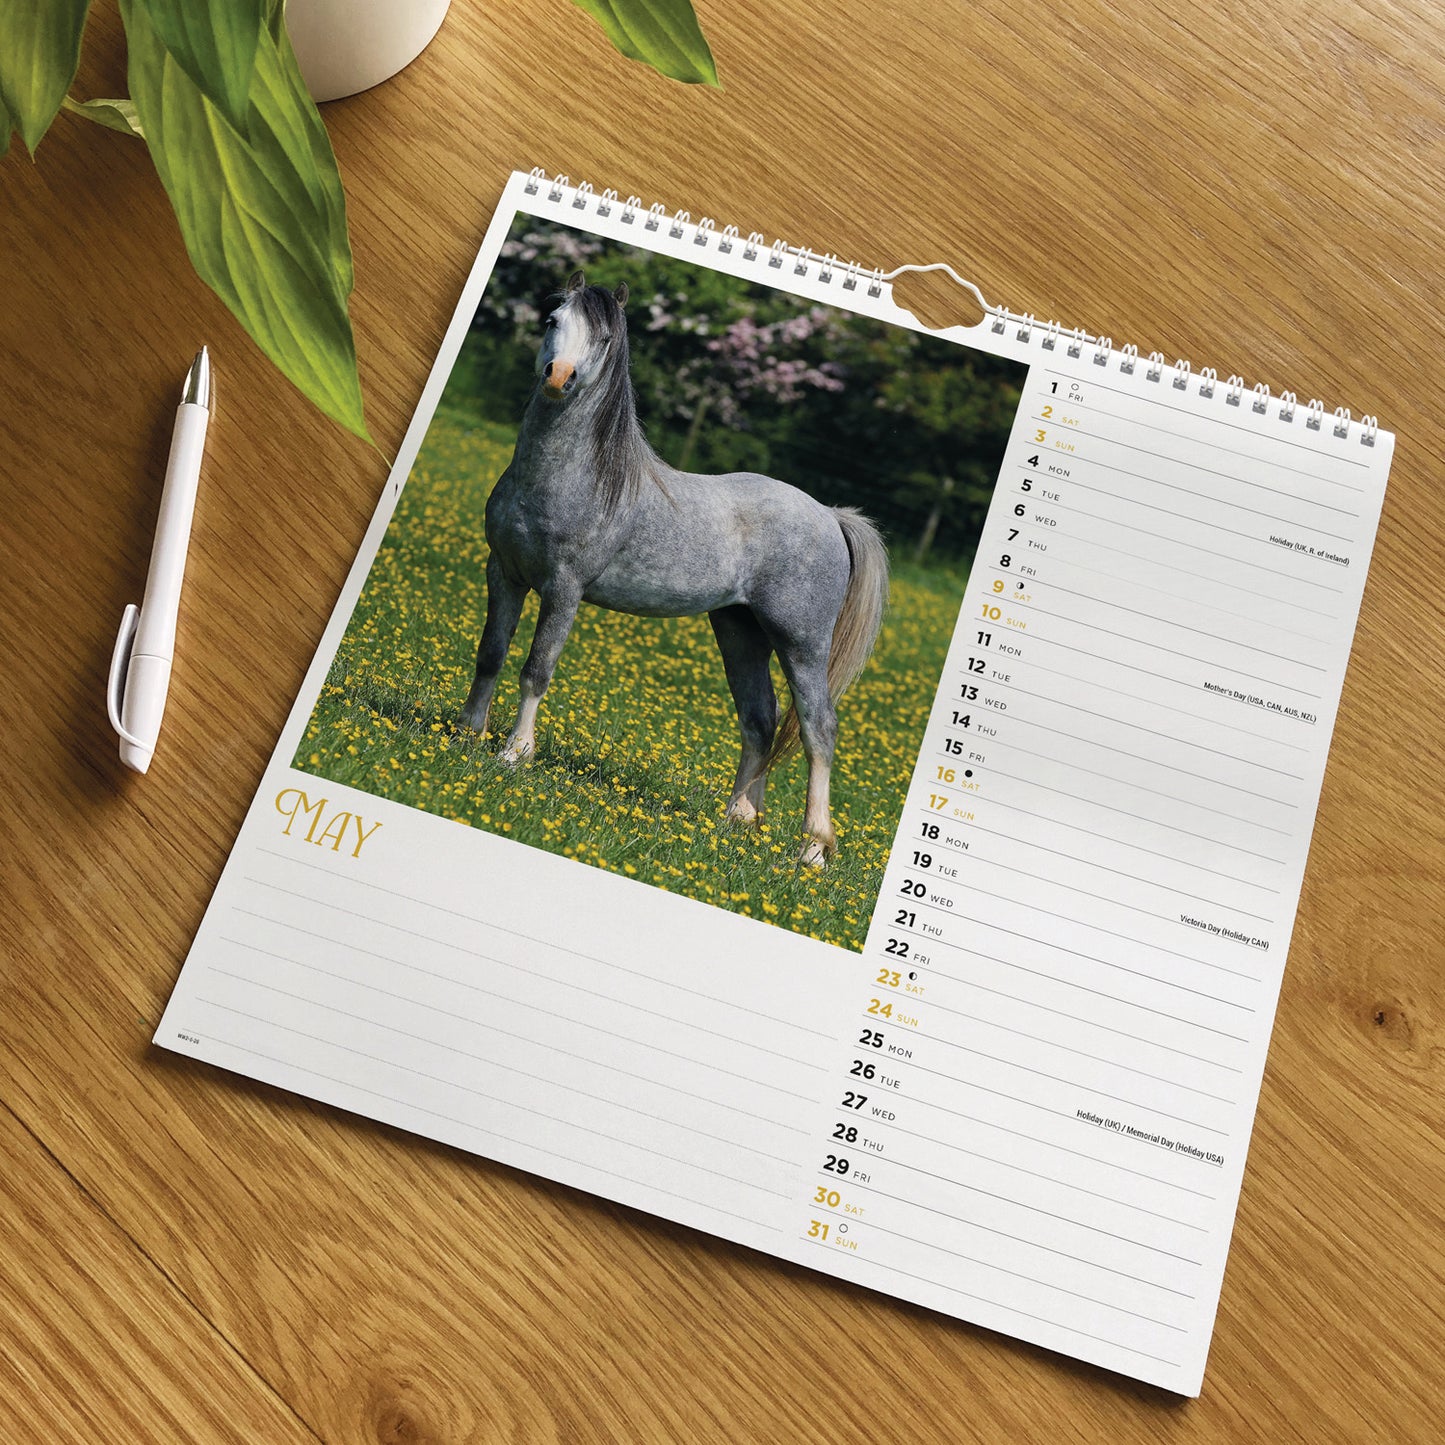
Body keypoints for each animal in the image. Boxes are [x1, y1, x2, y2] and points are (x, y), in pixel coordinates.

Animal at [458, 270, 889, 867]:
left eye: (604, 339)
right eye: (551, 321)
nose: (560, 377)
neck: (564, 478)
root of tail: (829, 514)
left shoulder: (563, 589)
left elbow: (536, 668)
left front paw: (513, 755)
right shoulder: (503, 573)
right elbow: (492, 654)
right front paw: (467, 735)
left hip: (801, 642)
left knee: (817, 729)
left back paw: (812, 850)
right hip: (741, 631)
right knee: (759, 720)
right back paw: (738, 820)